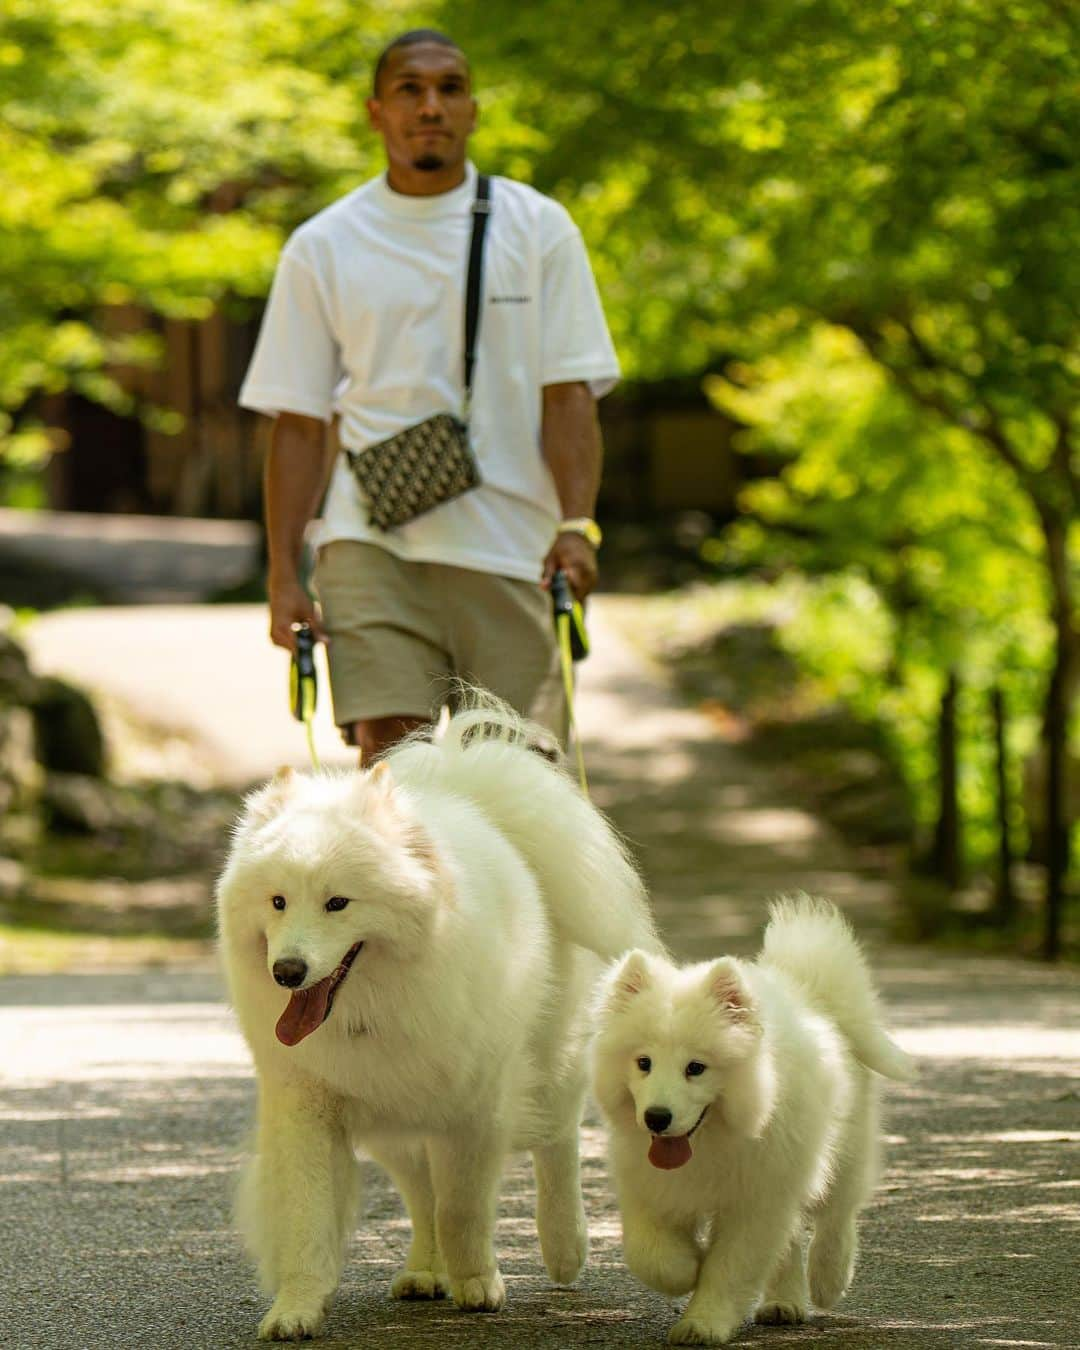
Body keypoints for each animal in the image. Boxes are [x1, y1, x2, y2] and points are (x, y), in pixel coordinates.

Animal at [217, 696, 658, 1339]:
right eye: (277, 902)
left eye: (337, 903)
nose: (288, 971)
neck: (376, 1006)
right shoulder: (308, 1105)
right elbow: (308, 1218)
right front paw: (296, 1309)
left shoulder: (475, 1109)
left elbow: (463, 1209)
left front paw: (477, 1283)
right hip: (396, 1121)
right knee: (420, 1194)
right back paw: (425, 1271)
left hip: (544, 1072)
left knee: (556, 1144)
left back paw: (564, 1247)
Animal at [591, 891, 912, 1344]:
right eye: (643, 1063)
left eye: (696, 1068)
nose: (656, 1118)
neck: (711, 1141)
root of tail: (811, 990)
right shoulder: (651, 1186)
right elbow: (649, 1255)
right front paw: (689, 1265)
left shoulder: (755, 1200)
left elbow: (730, 1268)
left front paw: (702, 1322)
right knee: (791, 1239)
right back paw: (784, 1303)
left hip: (840, 1152)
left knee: (837, 1216)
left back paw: (828, 1279)